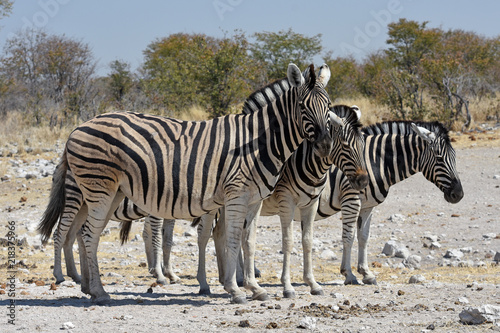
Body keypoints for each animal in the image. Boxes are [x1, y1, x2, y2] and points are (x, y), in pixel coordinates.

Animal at [38, 63, 336, 304]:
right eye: (303, 107)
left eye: (329, 107)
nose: (324, 146)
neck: (258, 142)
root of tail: (76, 128)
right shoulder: (236, 195)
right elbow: (232, 239)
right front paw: (235, 289)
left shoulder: (255, 199)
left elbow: (249, 242)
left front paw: (255, 288)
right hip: (97, 190)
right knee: (85, 234)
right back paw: (98, 292)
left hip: (107, 194)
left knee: (83, 233)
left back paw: (88, 287)